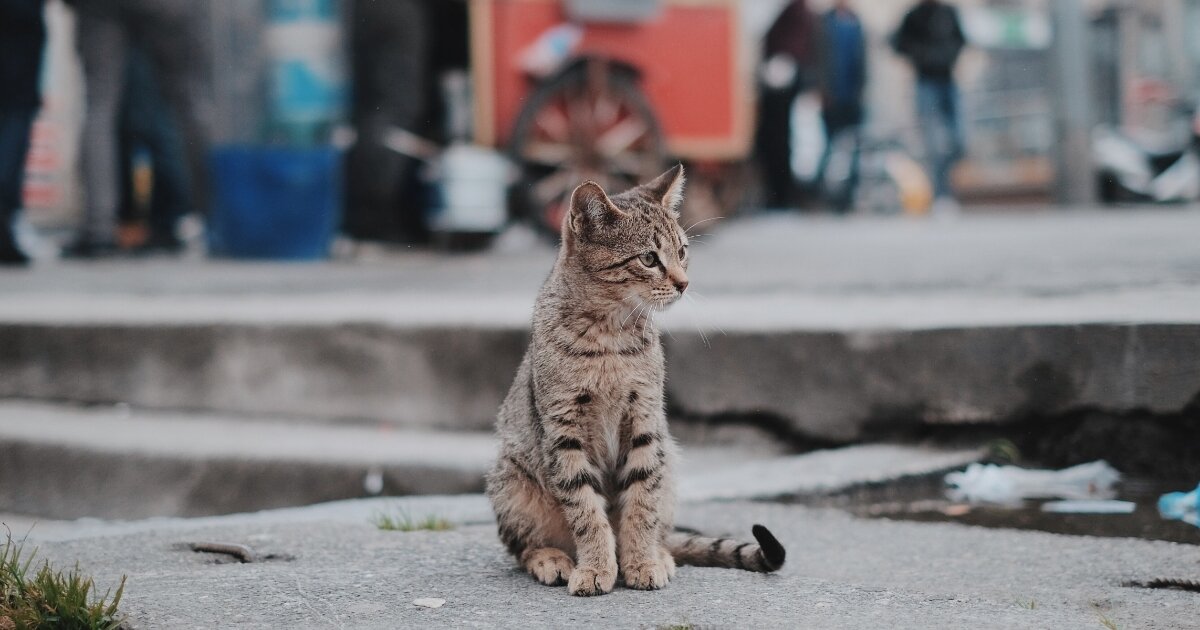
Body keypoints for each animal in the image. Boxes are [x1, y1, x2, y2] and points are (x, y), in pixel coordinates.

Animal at [487, 165, 787, 595]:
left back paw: (659, 553)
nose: (684, 283)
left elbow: (642, 503)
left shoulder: (646, 421)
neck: (610, 337)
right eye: (648, 258)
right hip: (511, 481)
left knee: (663, 526)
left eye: (682, 252)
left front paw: (641, 561)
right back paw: (551, 558)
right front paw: (596, 567)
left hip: (670, 462)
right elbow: (586, 510)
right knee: (522, 545)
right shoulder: (563, 433)